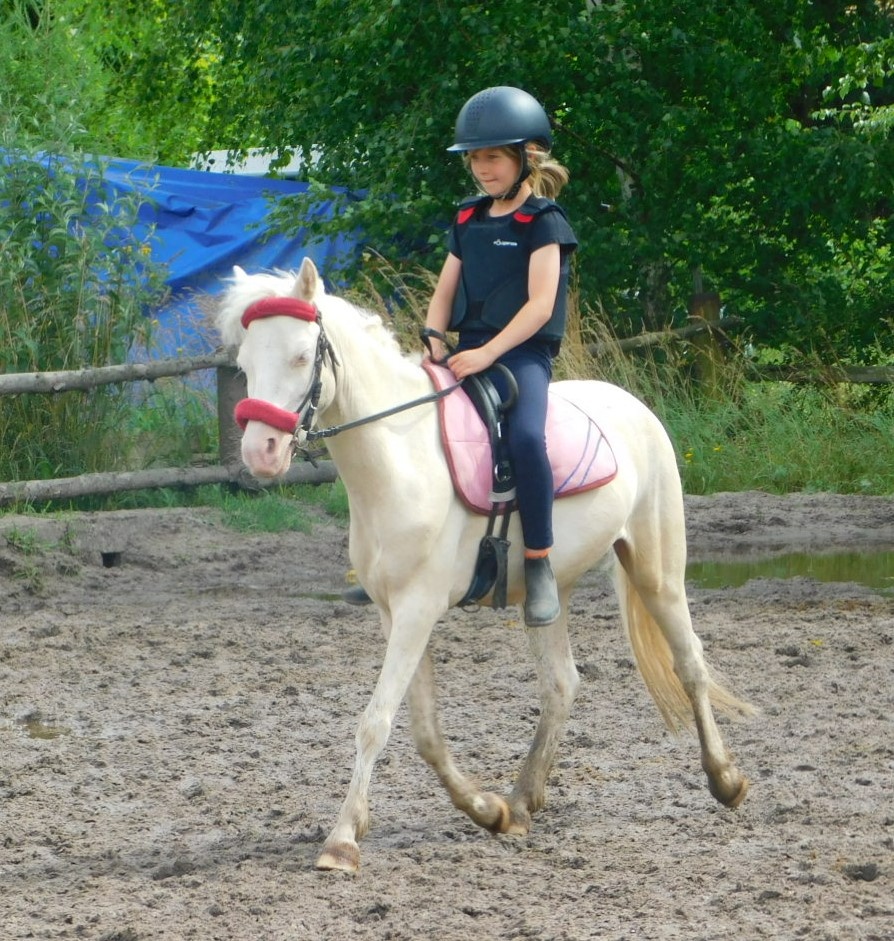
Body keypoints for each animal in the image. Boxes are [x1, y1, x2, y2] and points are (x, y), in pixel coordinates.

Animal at [215, 257, 753, 873]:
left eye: (302, 357)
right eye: (244, 365)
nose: (260, 455)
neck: (400, 459)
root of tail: (631, 404)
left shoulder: (419, 609)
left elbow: (376, 720)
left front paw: (342, 841)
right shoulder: (394, 612)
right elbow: (424, 730)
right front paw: (487, 810)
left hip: (657, 570)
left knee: (690, 664)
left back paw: (725, 780)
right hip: (553, 591)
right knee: (561, 683)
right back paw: (520, 802)